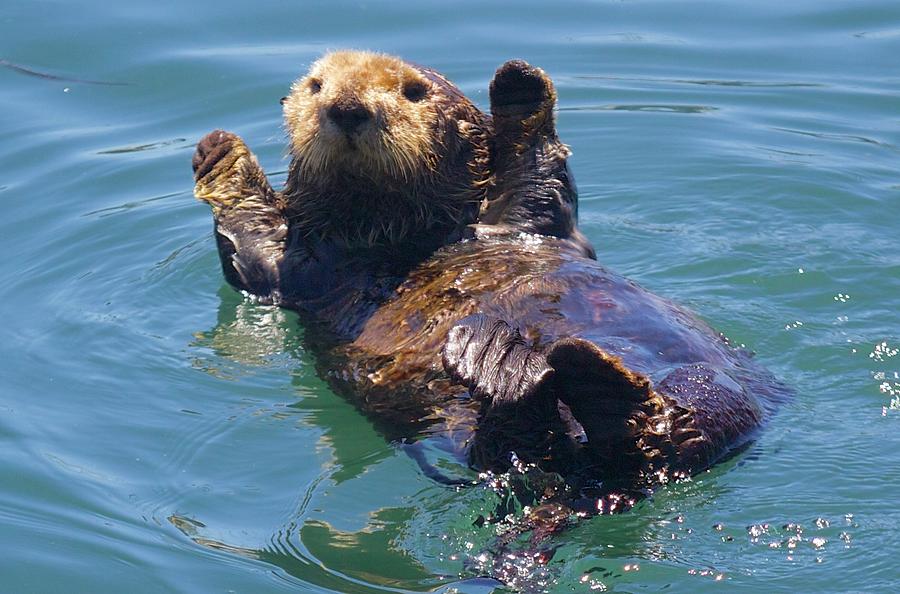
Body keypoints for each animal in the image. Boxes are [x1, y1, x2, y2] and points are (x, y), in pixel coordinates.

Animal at [193, 53, 784, 502]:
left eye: (413, 91)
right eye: (316, 85)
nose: (346, 108)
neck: (398, 235)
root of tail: (607, 479)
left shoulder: (525, 219)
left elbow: (538, 172)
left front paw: (518, 85)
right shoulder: (298, 271)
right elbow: (253, 246)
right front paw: (219, 153)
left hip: (718, 390)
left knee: (678, 421)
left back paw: (545, 369)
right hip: (470, 434)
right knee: (525, 443)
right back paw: (515, 368)